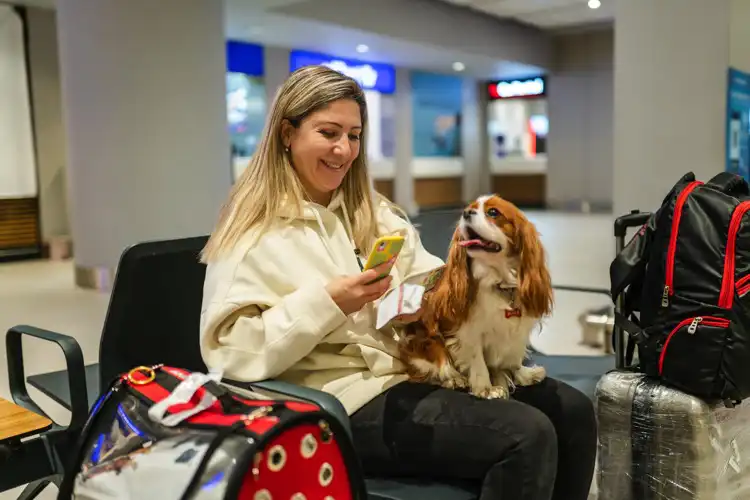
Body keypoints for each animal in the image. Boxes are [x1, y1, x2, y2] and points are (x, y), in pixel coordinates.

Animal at [402, 194, 556, 398]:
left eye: (493, 212)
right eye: (469, 208)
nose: (466, 213)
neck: (499, 281)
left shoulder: (515, 332)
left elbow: (513, 359)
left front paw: (522, 374)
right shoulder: (469, 333)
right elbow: (477, 361)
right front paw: (486, 389)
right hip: (425, 340)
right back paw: (453, 378)